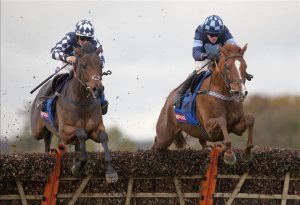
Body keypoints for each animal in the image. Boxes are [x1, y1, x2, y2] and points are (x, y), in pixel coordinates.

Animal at [30, 42, 118, 183]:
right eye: (83, 65)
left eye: (101, 65)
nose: (98, 89)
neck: (82, 101)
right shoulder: (65, 133)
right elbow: (81, 133)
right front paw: (77, 167)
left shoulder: (95, 128)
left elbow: (103, 137)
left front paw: (111, 172)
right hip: (36, 131)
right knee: (45, 136)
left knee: (50, 139)